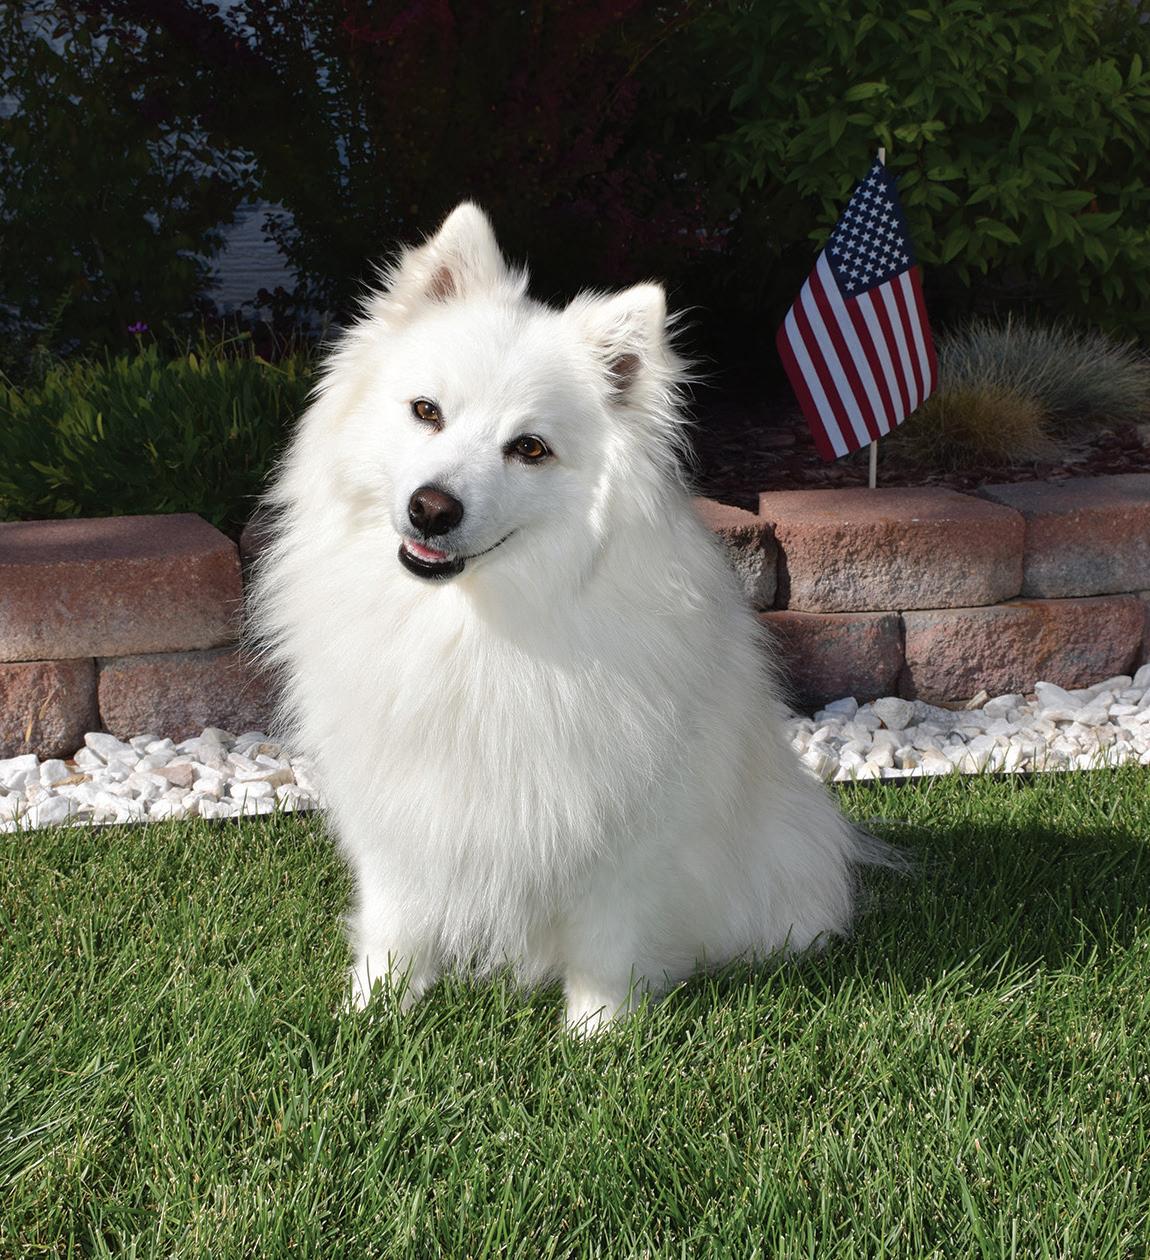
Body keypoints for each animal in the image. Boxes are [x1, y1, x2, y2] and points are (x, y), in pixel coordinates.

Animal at [251, 203, 867, 1033]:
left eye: (530, 448)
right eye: (426, 412)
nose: (431, 508)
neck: (478, 623)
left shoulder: (622, 832)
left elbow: (608, 942)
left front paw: (597, 1033)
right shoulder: (403, 813)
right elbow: (397, 923)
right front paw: (375, 1010)